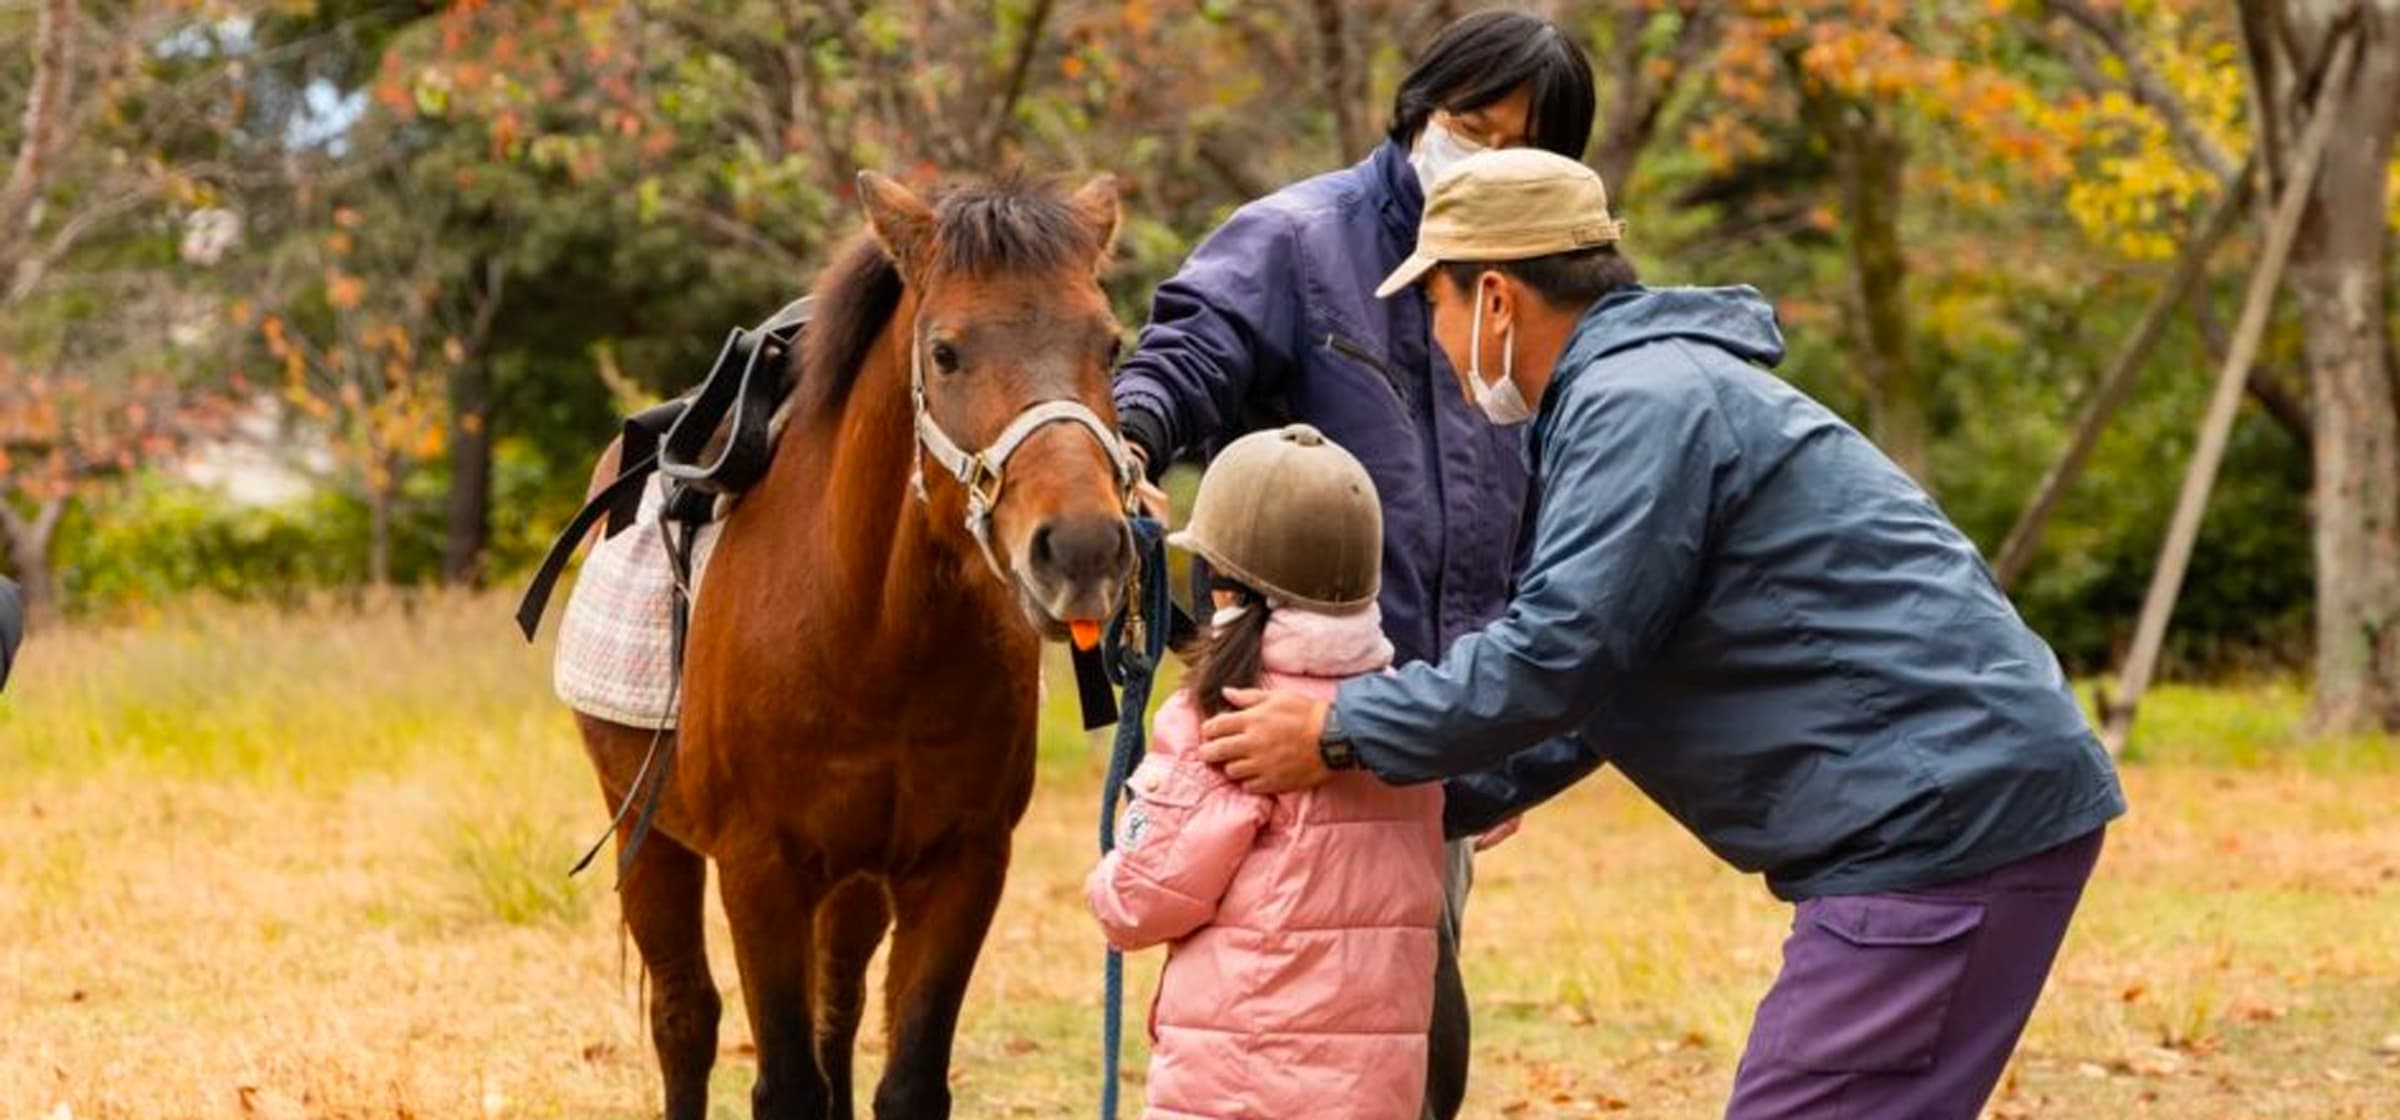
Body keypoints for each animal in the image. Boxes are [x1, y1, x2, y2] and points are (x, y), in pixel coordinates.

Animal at [571, 169, 1132, 1120]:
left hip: (854, 883)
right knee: (685, 1018)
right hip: (647, 833)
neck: (873, 634)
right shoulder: (758, 867)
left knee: (837, 1008)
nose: (1085, 548)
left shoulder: (962, 864)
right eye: (945, 352)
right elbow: (787, 1084)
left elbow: (905, 1080)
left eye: (1113, 344)